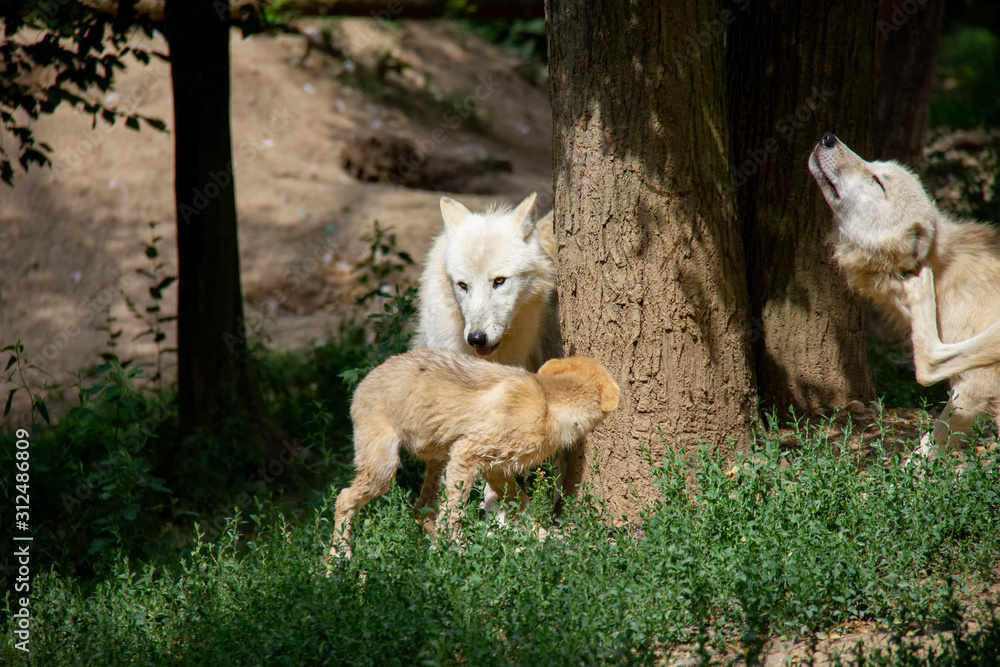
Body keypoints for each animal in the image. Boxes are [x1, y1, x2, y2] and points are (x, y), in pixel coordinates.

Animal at [329, 349, 619, 559]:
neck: (550, 403)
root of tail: (365, 379)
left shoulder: (496, 468)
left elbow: (522, 505)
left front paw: (547, 539)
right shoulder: (467, 454)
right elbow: (457, 511)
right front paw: (450, 551)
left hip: (437, 461)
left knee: (422, 508)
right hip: (384, 468)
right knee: (344, 499)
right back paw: (338, 560)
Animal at [808, 131, 1000, 458]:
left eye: (878, 182)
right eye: (873, 164)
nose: (828, 137)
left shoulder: (978, 383)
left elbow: (931, 444)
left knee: (927, 365)